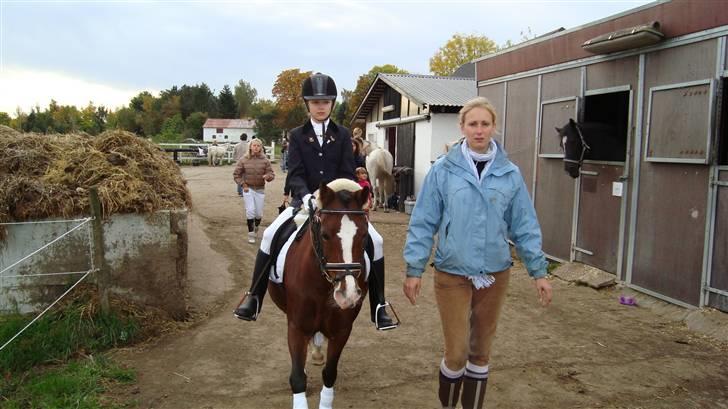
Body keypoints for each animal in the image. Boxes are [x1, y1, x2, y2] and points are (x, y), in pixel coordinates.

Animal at [268, 178, 370, 408]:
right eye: (324, 235)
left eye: (364, 235)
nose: (348, 295)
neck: (323, 287)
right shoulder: (296, 326)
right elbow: (297, 377)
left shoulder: (342, 330)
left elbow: (330, 373)